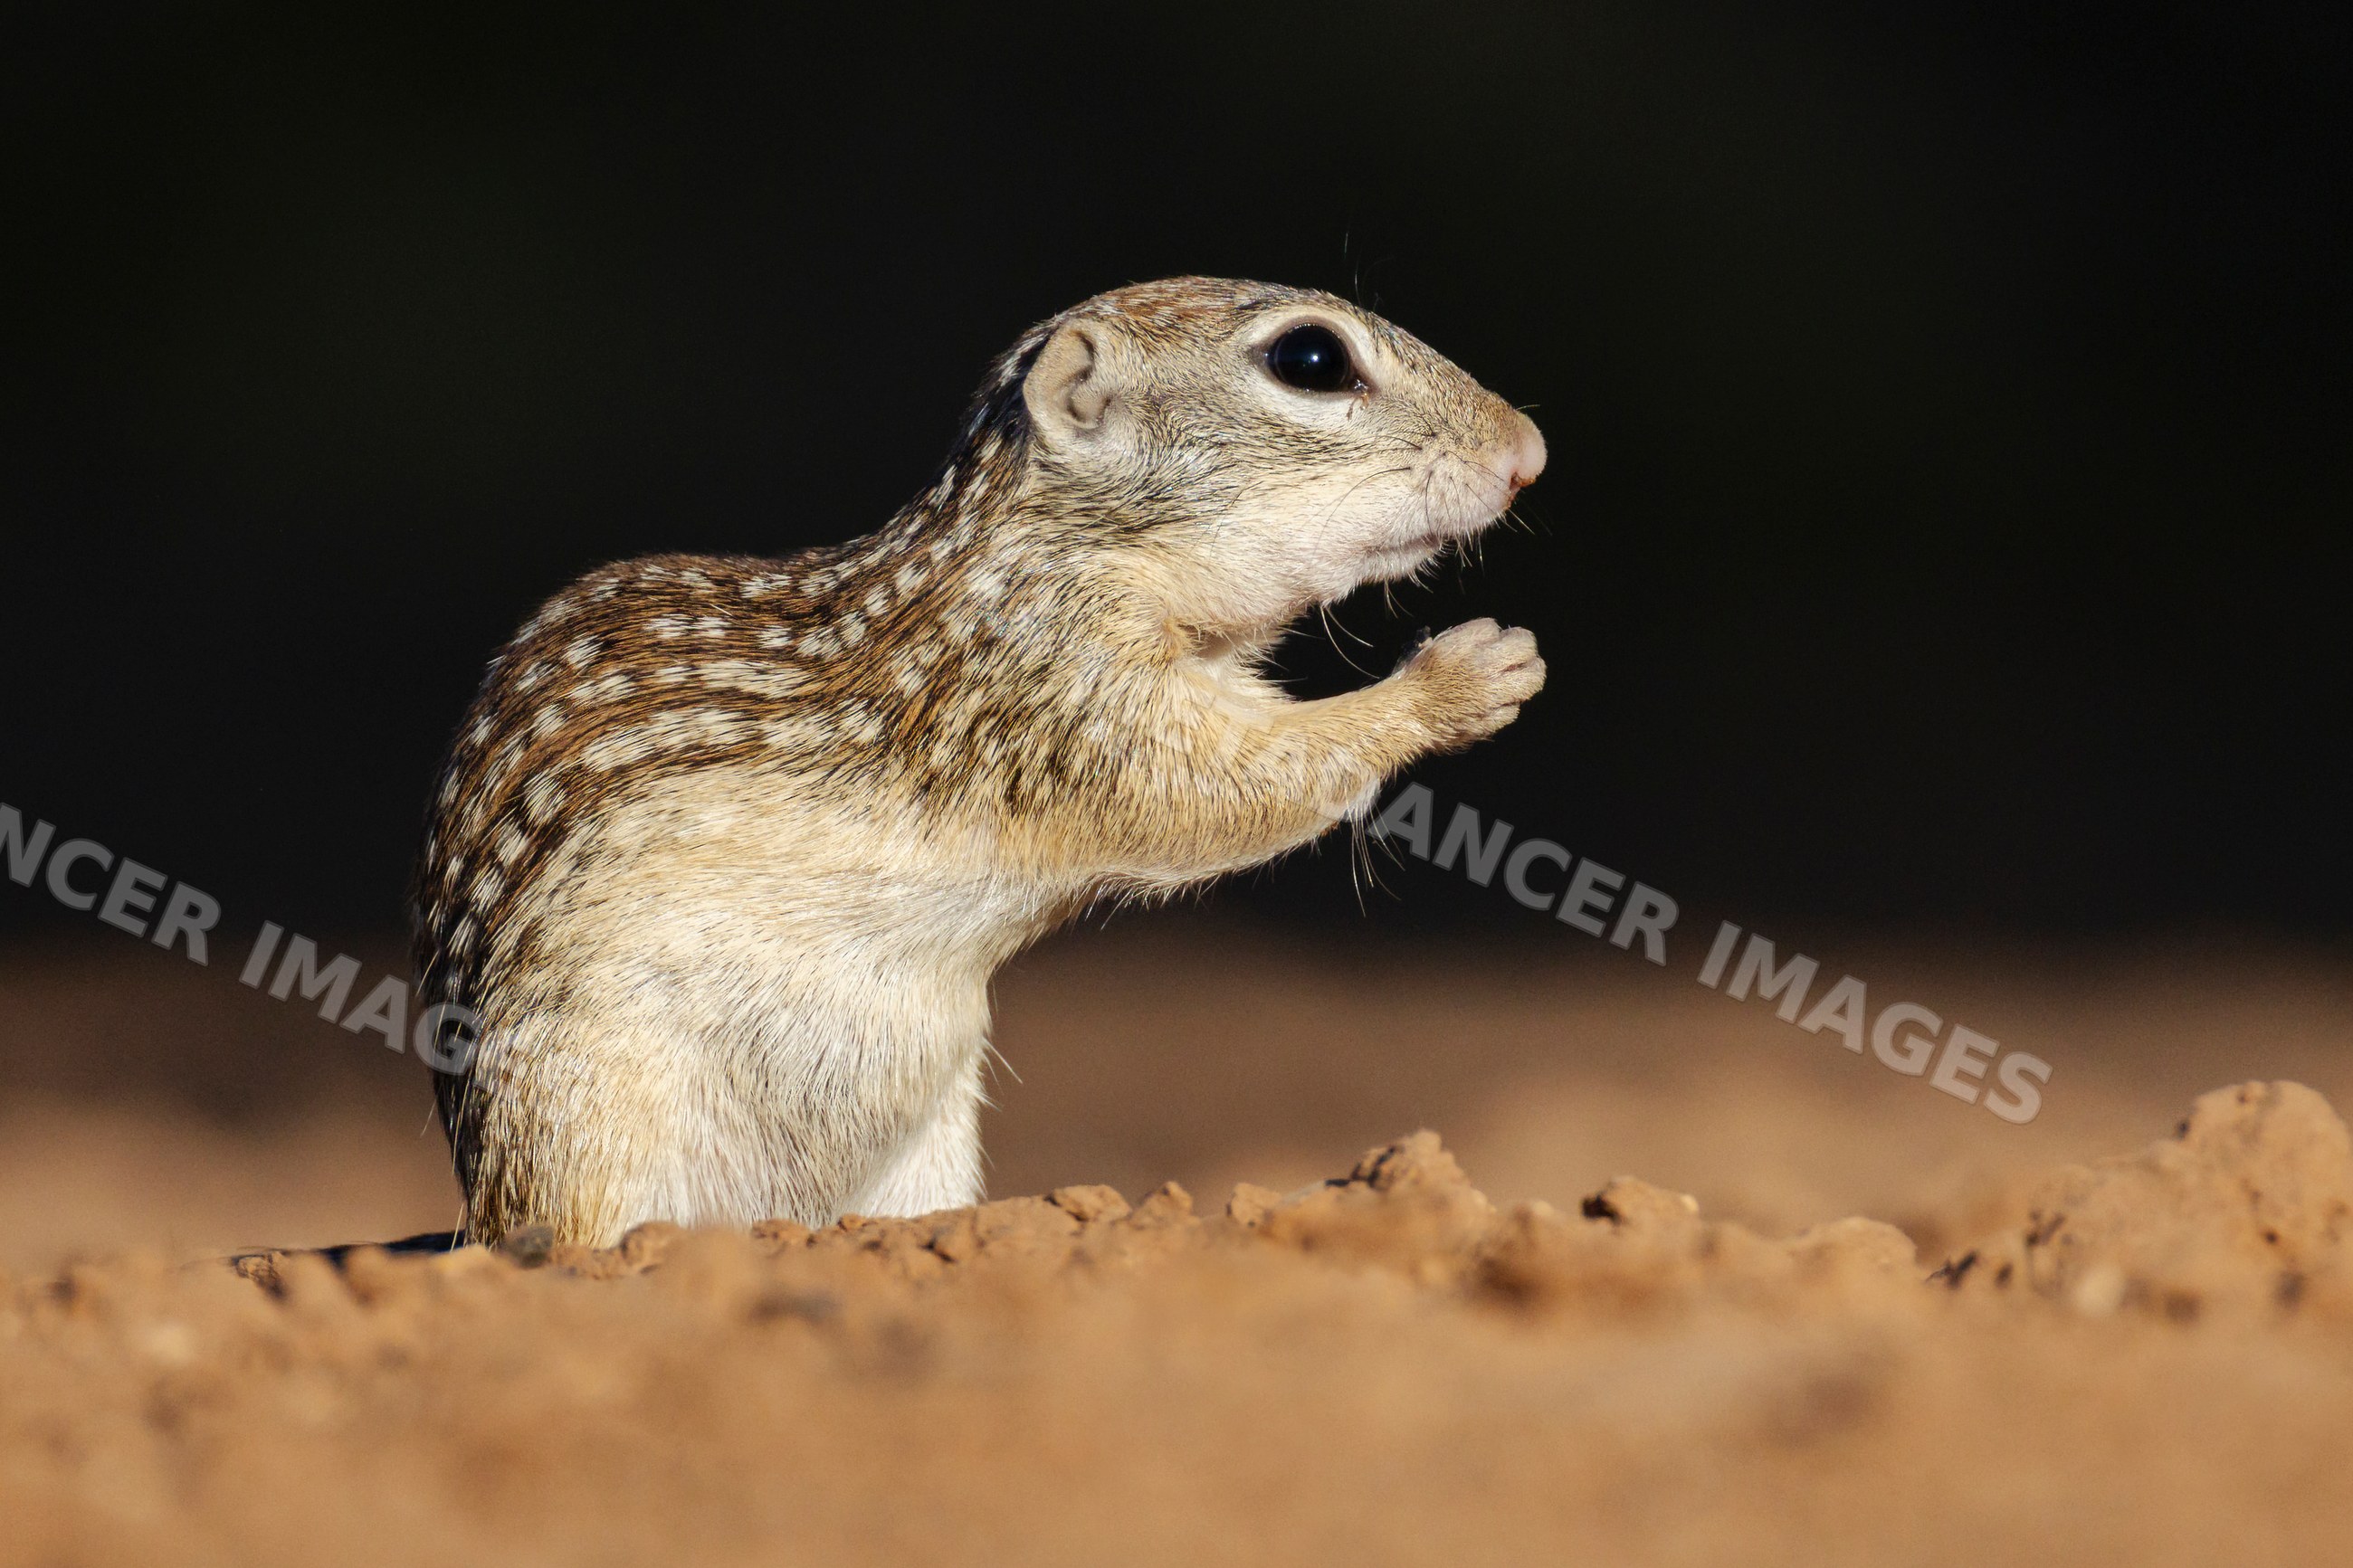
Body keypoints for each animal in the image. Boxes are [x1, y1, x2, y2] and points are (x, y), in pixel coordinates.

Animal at [413, 277, 1546, 1246]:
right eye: (1308, 357)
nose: (1529, 448)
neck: (1058, 550)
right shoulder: (1060, 690)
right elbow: (1223, 784)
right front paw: (1459, 677)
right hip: (591, 1132)